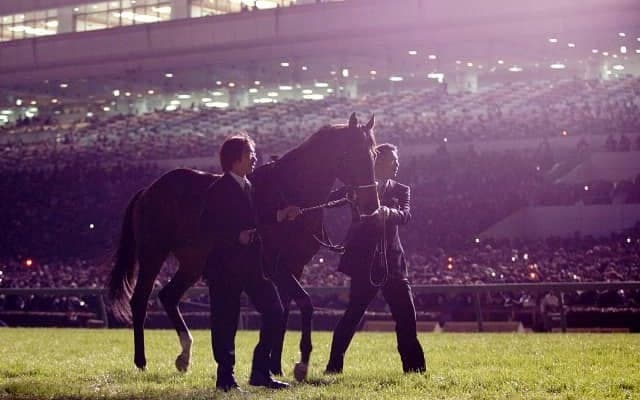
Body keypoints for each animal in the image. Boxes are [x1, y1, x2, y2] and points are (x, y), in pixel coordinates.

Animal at [108, 113, 379, 379]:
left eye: (374, 155)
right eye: (352, 154)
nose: (371, 205)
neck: (291, 193)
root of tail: (149, 190)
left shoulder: (294, 266)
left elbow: (284, 311)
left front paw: (275, 366)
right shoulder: (275, 266)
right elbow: (304, 303)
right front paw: (301, 363)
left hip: (192, 263)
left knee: (168, 295)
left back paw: (184, 355)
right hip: (153, 254)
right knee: (140, 300)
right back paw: (141, 360)